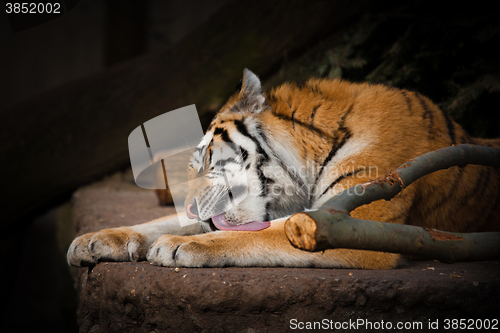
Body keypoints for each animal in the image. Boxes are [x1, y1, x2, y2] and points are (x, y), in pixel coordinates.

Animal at [67, 68, 500, 270]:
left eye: (206, 161)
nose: (190, 207)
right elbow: (159, 223)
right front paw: (95, 240)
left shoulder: (353, 222)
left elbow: (258, 234)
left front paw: (177, 245)